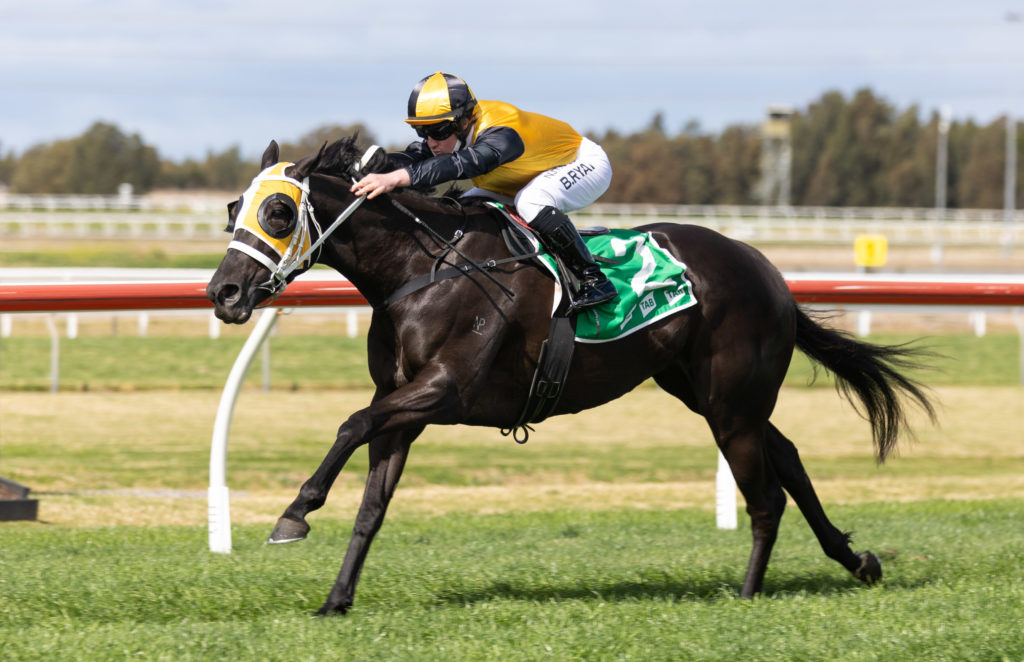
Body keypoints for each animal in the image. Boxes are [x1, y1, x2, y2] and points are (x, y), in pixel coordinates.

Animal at [206, 136, 935, 615]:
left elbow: (349, 423)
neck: (421, 267)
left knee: (765, 495)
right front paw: (336, 599)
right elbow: (371, 505)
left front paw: (294, 513)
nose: (224, 293)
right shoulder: (404, 403)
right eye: (233, 208)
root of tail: (768, 271)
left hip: (729, 402)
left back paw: (749, 593)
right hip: (709, 392)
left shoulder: (442, 390)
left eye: (277, 212)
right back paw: (857, 560)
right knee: (787, 457)